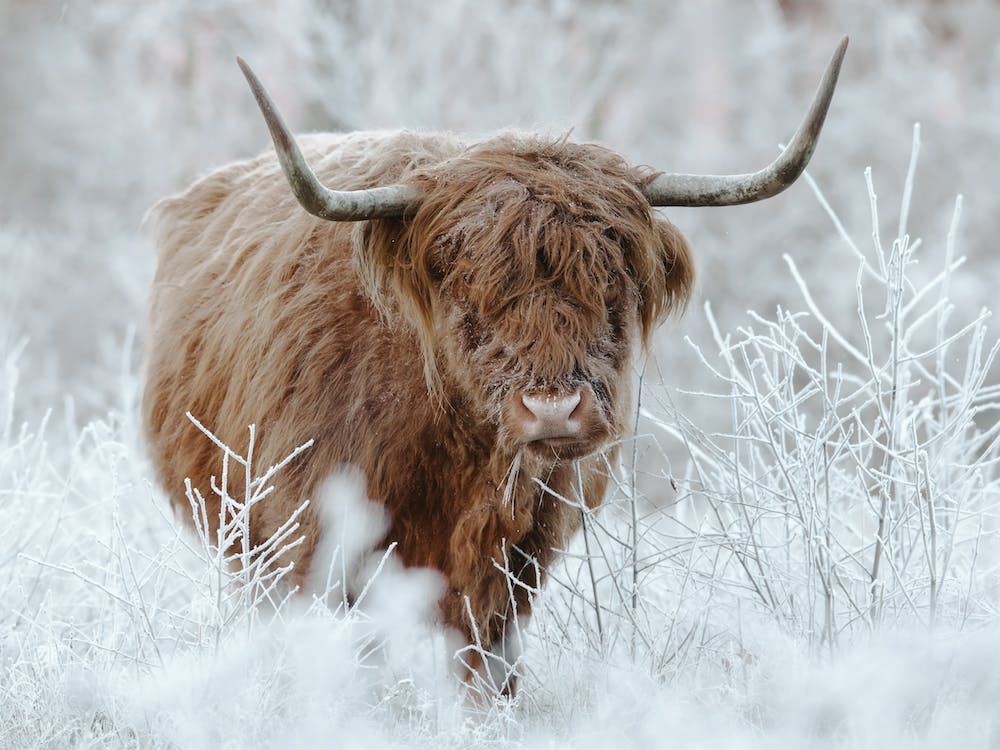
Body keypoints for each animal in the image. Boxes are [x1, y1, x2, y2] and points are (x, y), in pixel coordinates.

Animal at [143, 38, 847, 695]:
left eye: (610, 279)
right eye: (467, 284)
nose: (553, 411)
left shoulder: (517, 554)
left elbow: (486, 657)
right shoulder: (311, 537)